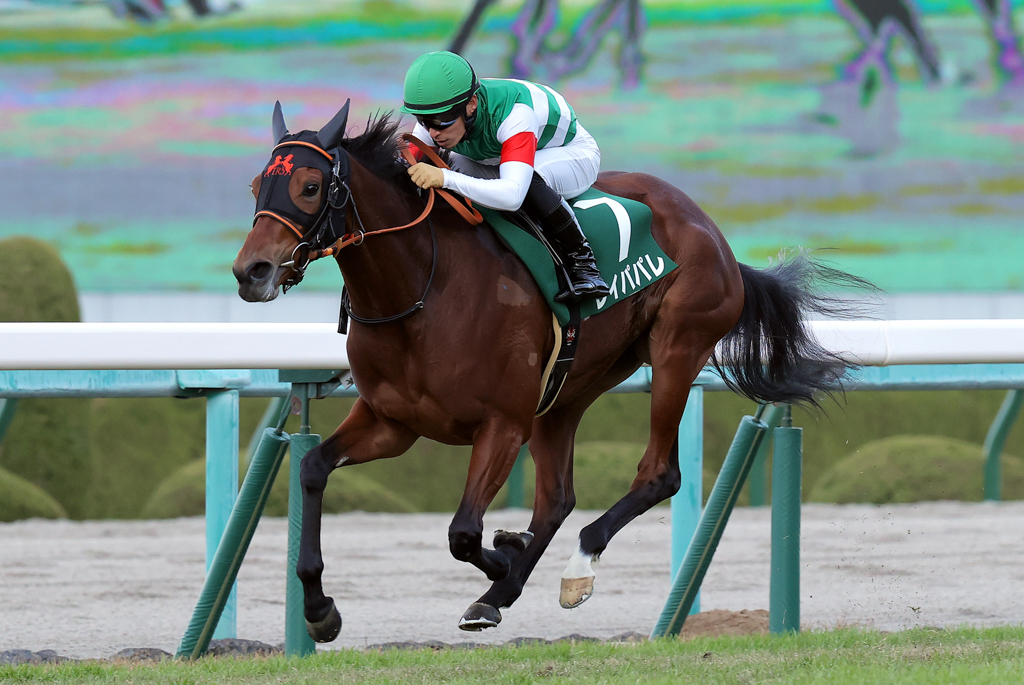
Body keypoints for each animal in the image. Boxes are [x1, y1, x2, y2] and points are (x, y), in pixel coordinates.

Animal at [232, 102, 864, 643]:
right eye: (256, 186)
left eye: (310, 187)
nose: (250, 271)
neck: (421, 291)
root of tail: (713, 233)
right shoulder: (393, 422)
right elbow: (312, 467)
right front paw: (320, 610)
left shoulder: (502, 423)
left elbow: (464, 533)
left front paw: (505, 554)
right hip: (570, 385)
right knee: (557, 496)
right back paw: (499, 592)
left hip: (676, 349)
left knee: (658, 474)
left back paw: (570, 567)